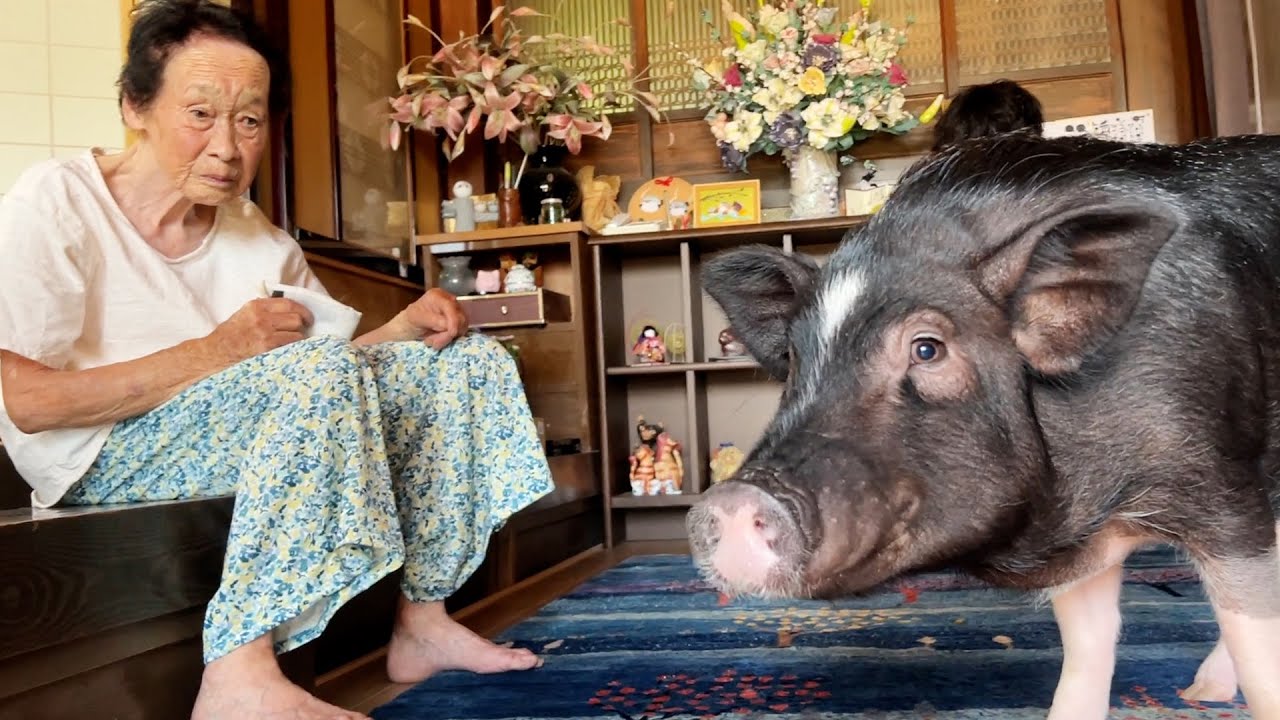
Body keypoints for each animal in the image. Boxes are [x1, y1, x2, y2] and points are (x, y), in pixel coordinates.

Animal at [688, 131, 1280, 719]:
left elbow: (1259, 649)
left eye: (927, 349)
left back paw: (1201, 694)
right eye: (793, 357)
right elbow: (1088, 644)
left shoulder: (1228, 491)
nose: (732, 499)